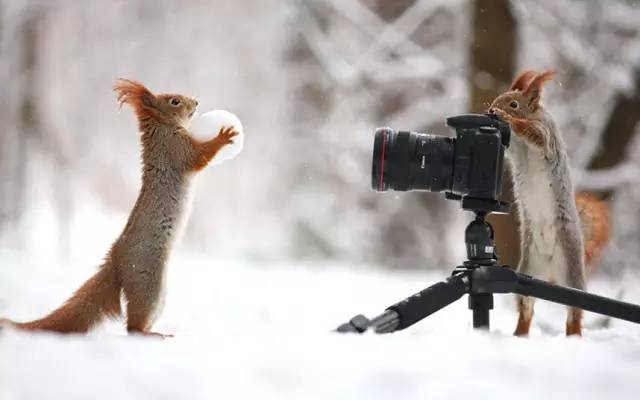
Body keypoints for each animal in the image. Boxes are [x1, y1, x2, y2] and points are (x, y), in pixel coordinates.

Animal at [0, 79, 238, 336]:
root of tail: (116, 261)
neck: (162, 128)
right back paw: (152, 334)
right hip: (148, 282)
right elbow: (199, 156)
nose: (196, 102)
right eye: (174, 101)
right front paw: (224, 137)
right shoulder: (175, 150)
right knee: (133, 326)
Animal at [490, 70, 608, 336]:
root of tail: (550, 271)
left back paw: (573, 336)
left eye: (514, 104)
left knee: (574, 311)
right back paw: (519, 334)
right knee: (526, 308)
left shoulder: (546, 136)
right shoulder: (514, 149)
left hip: (572, 272)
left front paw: (508, 119)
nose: (491, 109)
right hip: (527, 271)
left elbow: (535, 135)